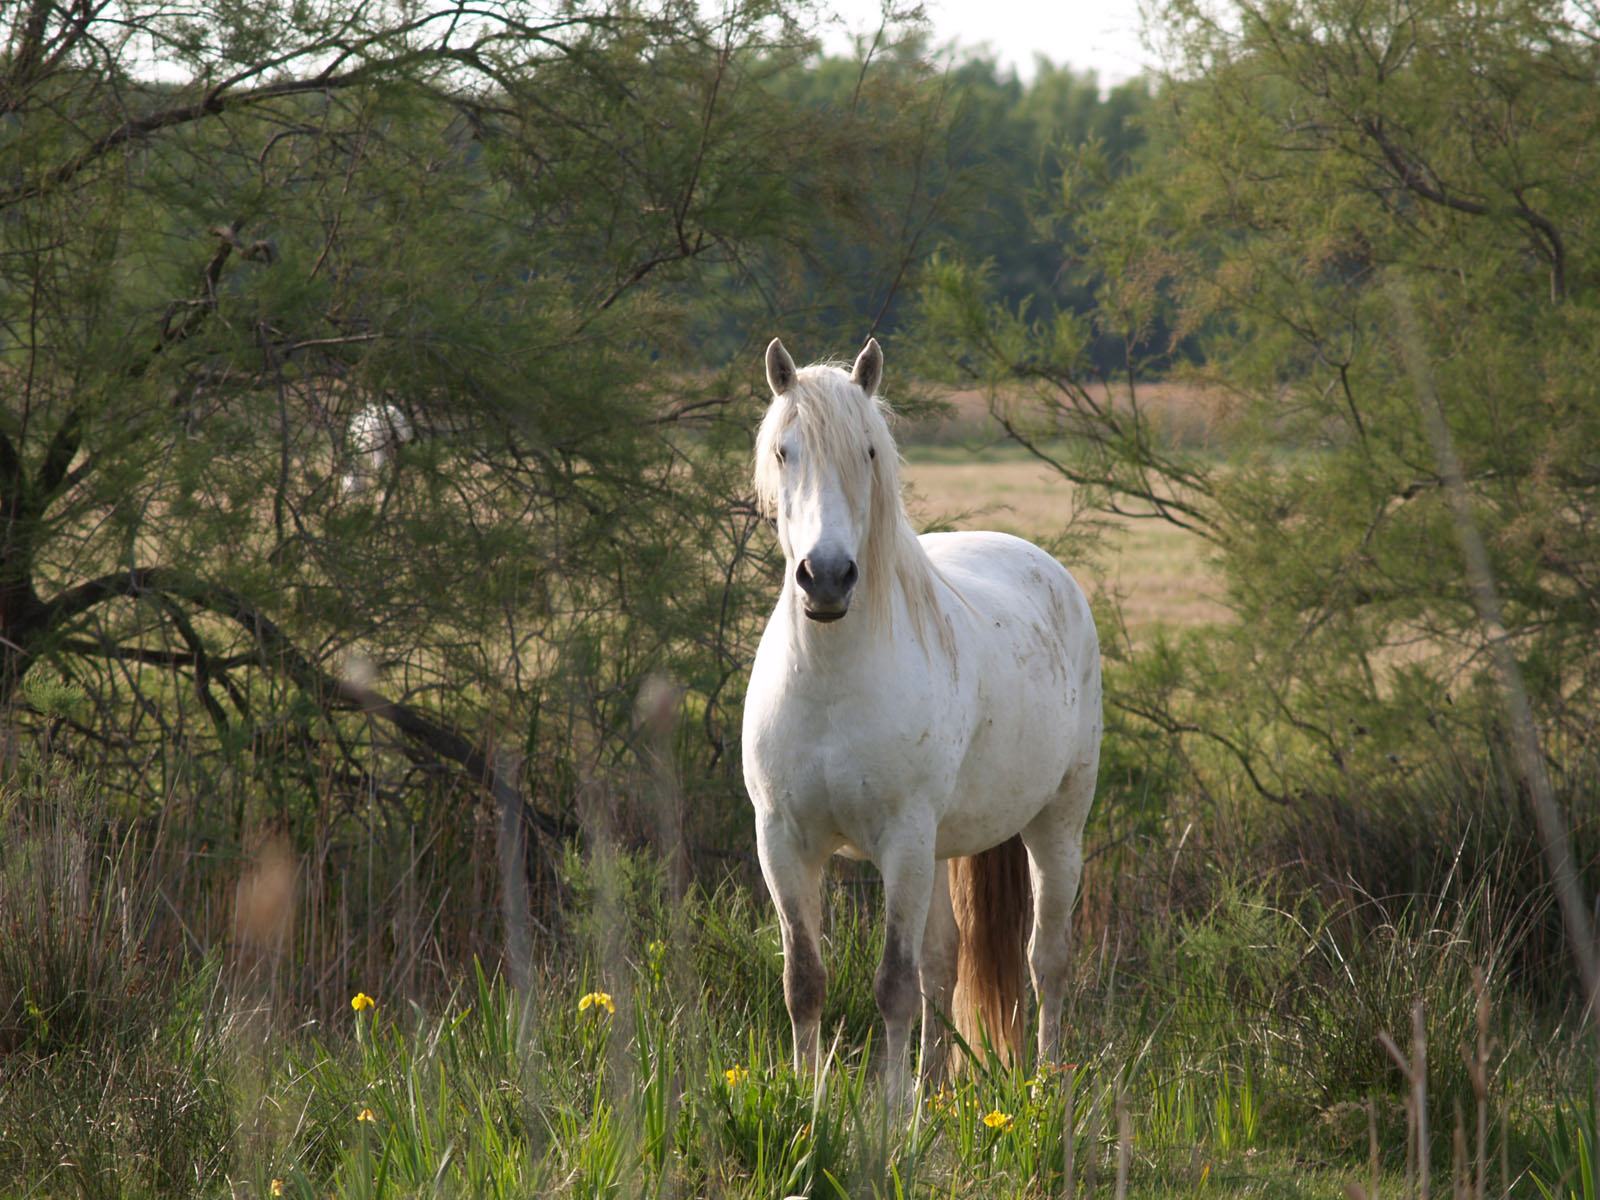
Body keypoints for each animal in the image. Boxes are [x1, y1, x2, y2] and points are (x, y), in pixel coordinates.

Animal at [739, 336, 1100, 1088]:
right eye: (785, 450)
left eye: (870, 452)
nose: (826, 577)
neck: (832, 684)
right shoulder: (782, 842)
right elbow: (805, 982)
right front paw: (808, 1101)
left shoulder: (901, 843)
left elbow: (894, 986)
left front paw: (891, 1110)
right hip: (940, 848)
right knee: (946, 962)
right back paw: (935, 1090)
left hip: (1057, 823)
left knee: (1046, 958)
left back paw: (1047, 1085)